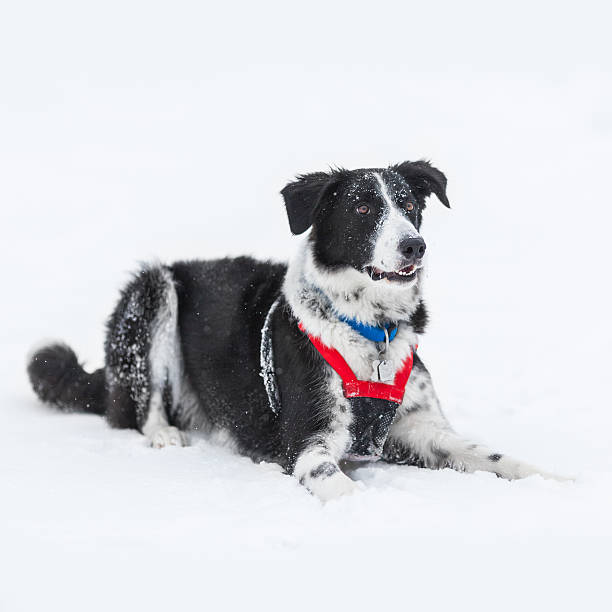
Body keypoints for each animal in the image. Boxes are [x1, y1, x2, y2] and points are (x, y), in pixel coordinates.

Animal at [28, 160, 564, 500]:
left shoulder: (420, 428)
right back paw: (163, 435)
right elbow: (342, 486)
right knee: (142, 405)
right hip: (154, 288)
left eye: (409, 205)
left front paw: (557, 482)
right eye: (363, 209)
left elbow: (494, 456)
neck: (373, 333)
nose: (416, 245)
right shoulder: (309, 443)